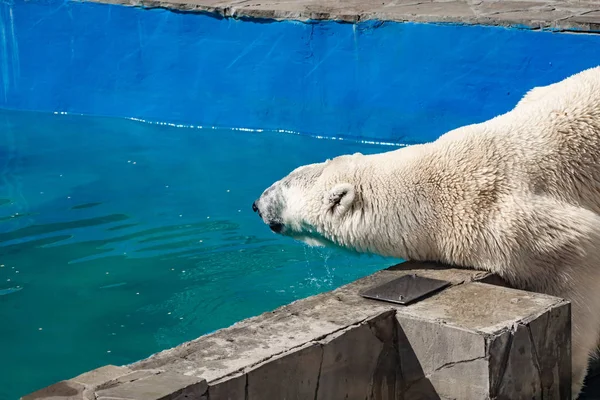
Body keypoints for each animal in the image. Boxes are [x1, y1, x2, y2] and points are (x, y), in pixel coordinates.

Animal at [251, 66, 600, 396]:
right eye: (286, 178)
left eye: (283, 187)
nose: (256, 203)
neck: (439, 187)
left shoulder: (529, 226)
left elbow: (578, 289)